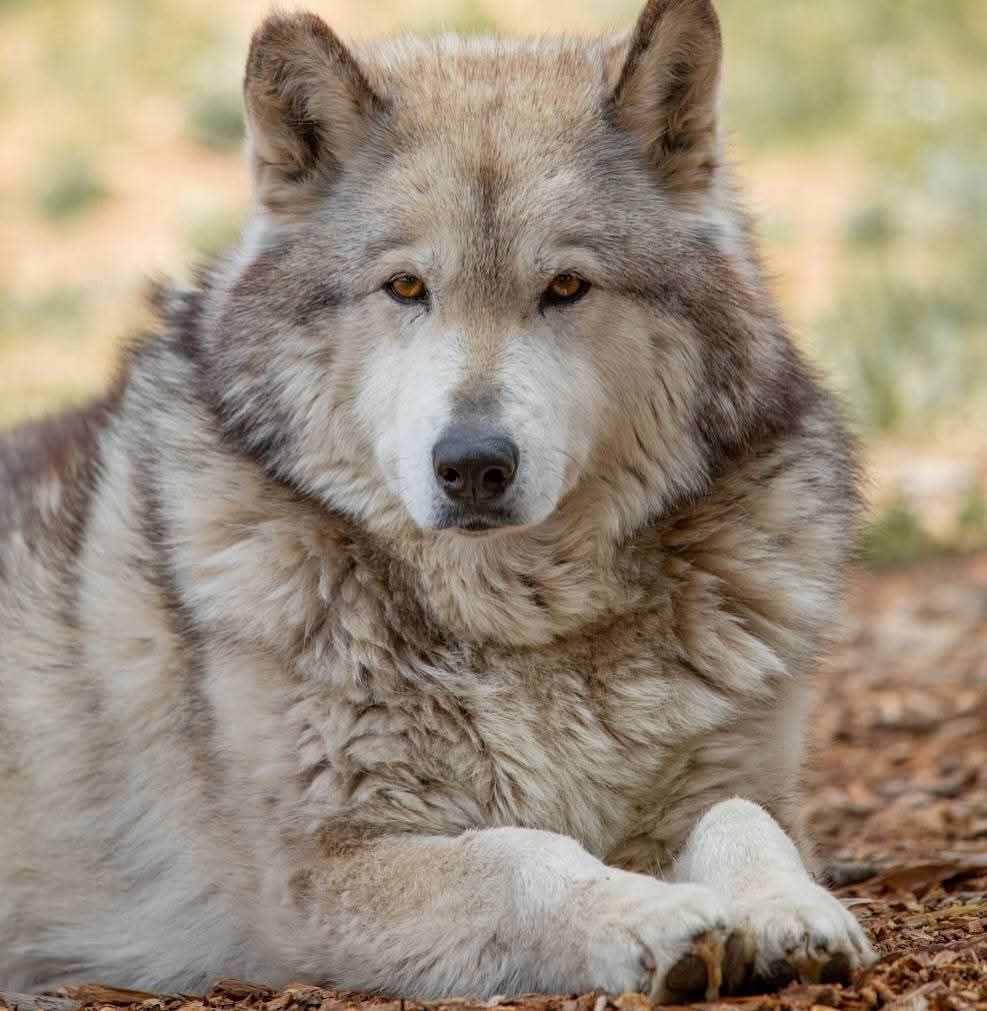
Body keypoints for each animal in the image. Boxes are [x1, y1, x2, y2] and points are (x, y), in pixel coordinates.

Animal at [0, 0, 876, 1001]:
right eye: (407, 287)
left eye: (565, 286)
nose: (472, 464)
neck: (517, 626)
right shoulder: (323, 876)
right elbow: (518, 855)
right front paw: (647, 917)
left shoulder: (739, 787)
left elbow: (740, 819)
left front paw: (791, 909)